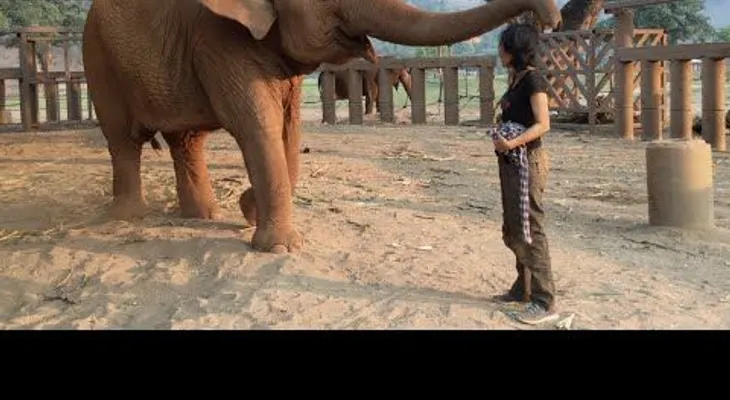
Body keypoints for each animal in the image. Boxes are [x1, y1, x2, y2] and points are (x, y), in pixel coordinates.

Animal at [81, 0, 562, 254]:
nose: (550, 18)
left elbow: (290, 131)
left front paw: (248, 210)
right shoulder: (217, 38)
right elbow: (257, 126)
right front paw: (278, 246)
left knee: (186, 140)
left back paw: (203, 216)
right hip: (98, 57)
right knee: (123, 141)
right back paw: (129, 216)